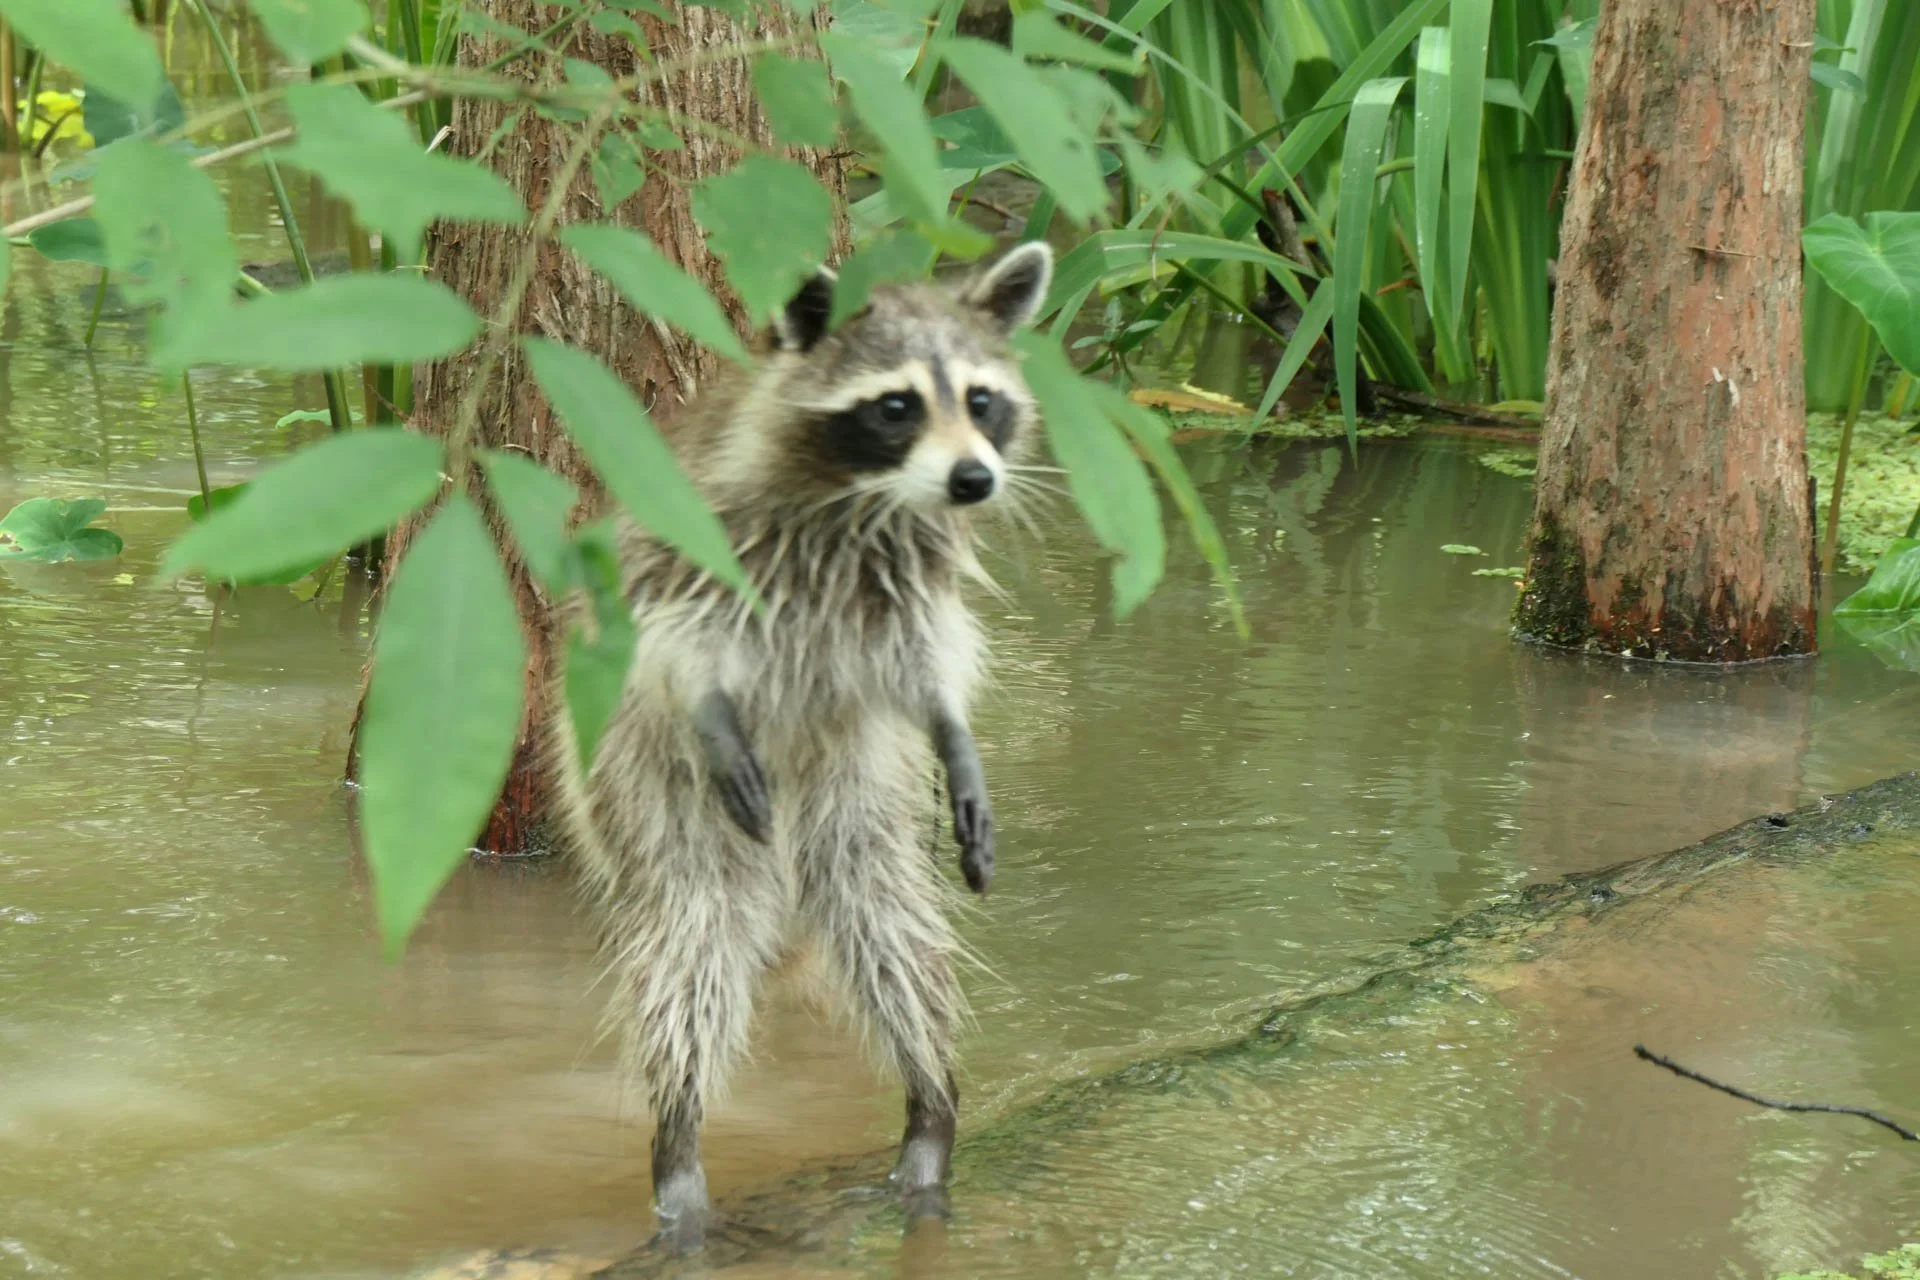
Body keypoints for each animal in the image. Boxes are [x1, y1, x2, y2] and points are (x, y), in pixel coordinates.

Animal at [548, 241, 1054, 1250]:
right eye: (898, 406)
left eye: (981, 399)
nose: (974, 480)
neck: (861, 497)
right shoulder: (702, 533)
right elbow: (673, 634)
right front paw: (709, 699)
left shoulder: (910, 577)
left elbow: (928, 658)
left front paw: (955, 729)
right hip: (641, 780)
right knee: (692, 941)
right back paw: (679, 1156)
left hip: (859, 774)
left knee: (885, 917)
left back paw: (931, 1112)